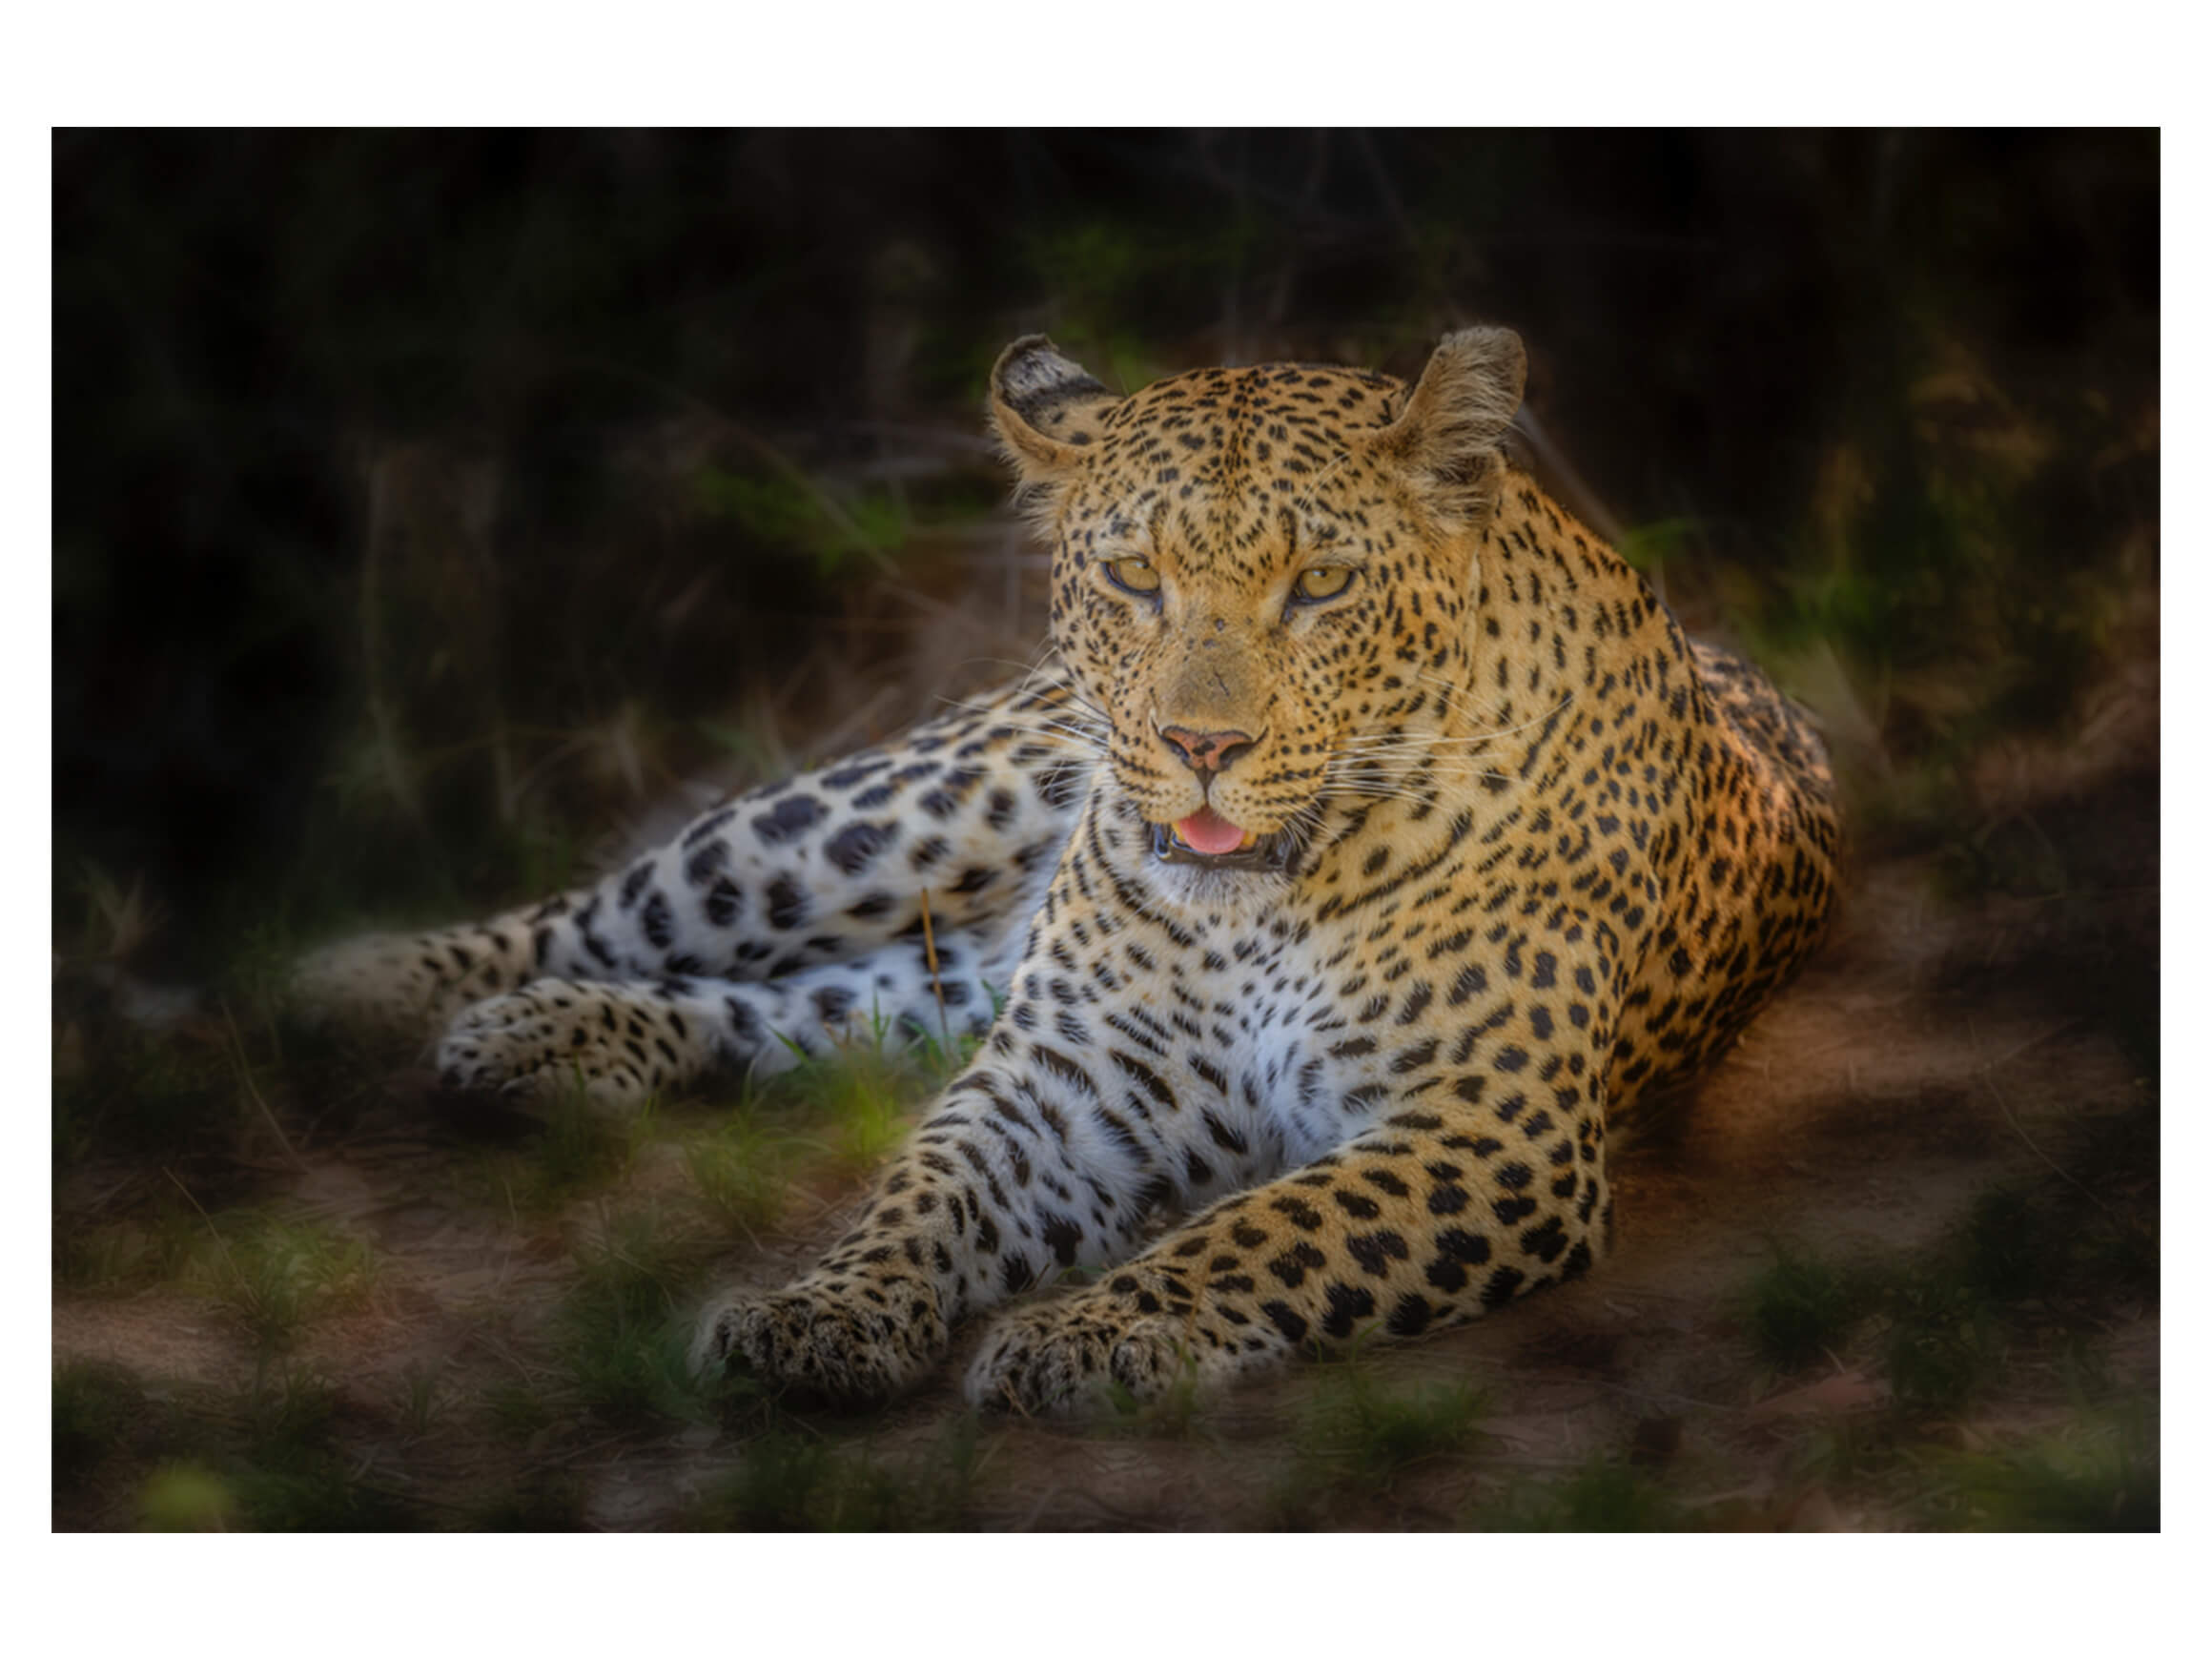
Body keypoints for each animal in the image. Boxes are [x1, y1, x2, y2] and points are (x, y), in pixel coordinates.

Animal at [296, 325, 1842, 1414]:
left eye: (1322, 586)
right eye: (1136, 578)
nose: (1201, 745)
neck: (1261, 907)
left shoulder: (1485, 1132)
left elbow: (1267, 1230)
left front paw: (1096, 1332)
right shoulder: (1064, 1082)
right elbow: (921, 1195)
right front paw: (822, 1313)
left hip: (946, 966)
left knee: (801, 1009)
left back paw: (540, 1041)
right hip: (893, 816)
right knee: (637, 903)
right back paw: (359, 987)